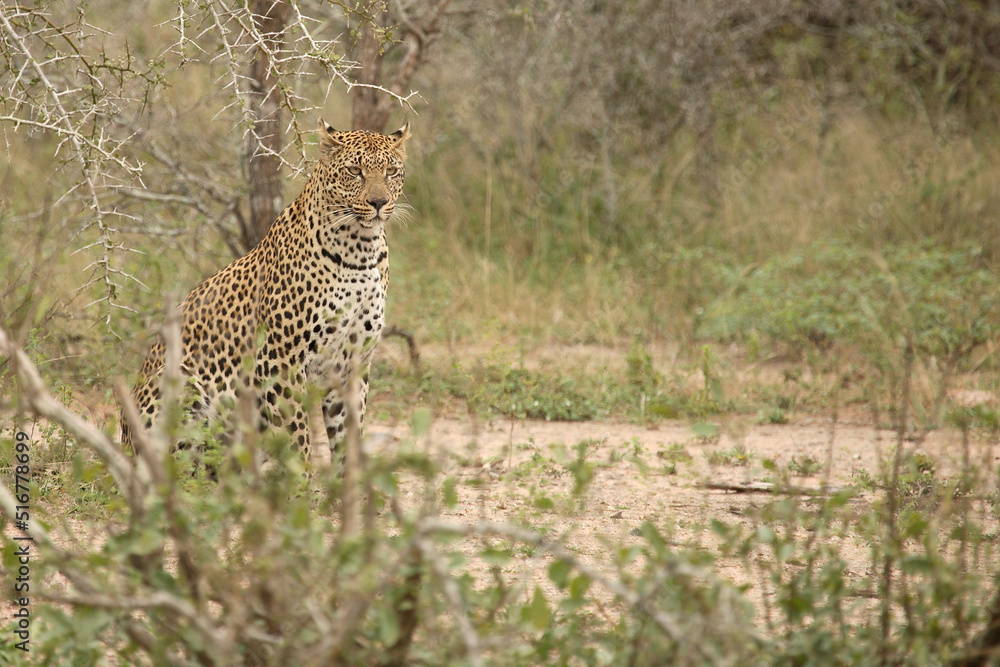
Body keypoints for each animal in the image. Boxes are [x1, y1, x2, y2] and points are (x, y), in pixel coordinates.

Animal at [121, 120, 411, 464]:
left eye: (391, 172)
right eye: (355, 171)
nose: (379, 203)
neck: (360, 252)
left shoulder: (352, 363)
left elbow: (348, 439)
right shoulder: (280, 361)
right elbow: (298, 440)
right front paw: (304, 478)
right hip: (176, 387)